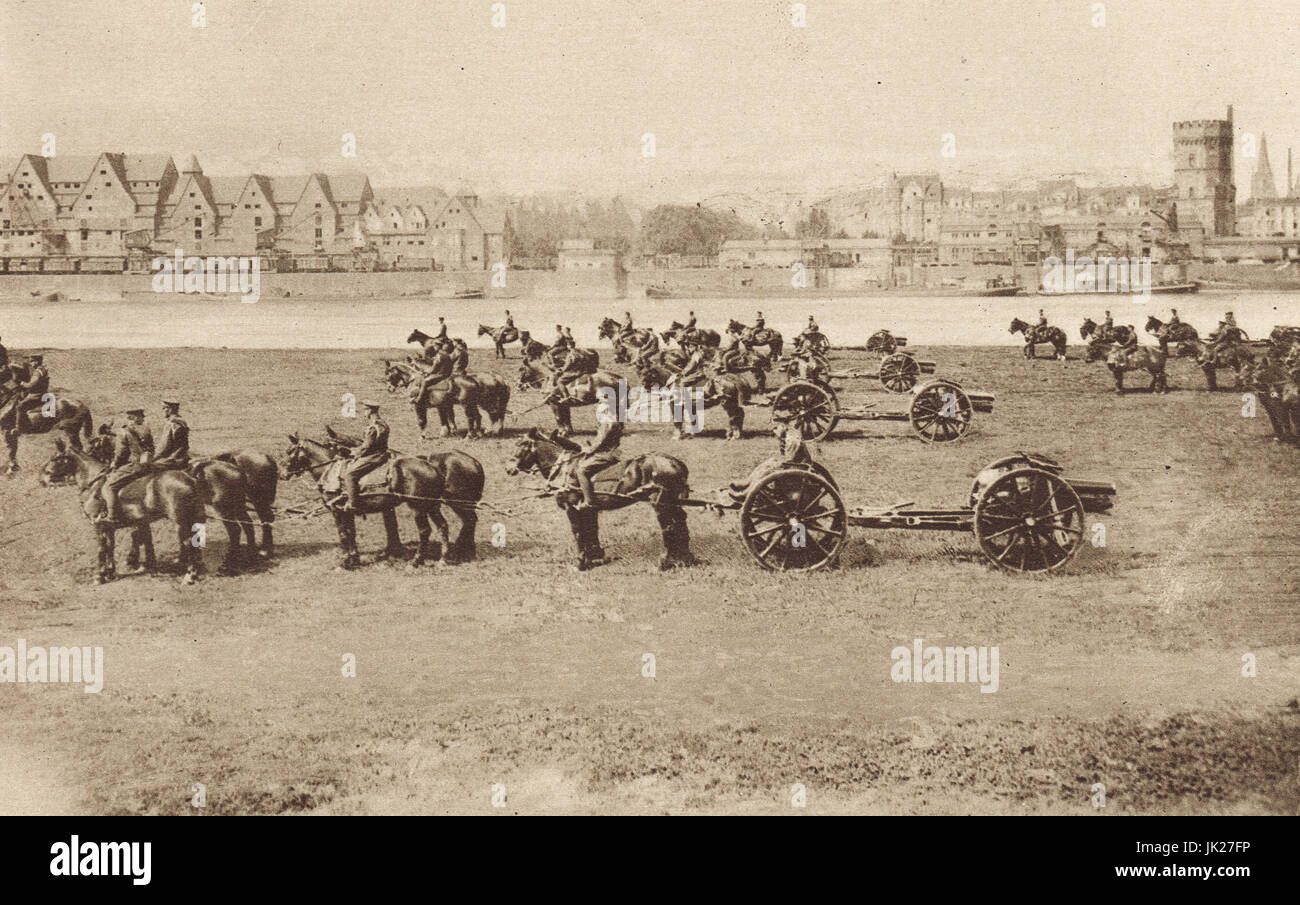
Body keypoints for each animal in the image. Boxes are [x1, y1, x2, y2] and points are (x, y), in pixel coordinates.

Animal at [38, 439, 209, 582]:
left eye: (54, 458)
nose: (41, 479)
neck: (94, 484)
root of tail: (189, 478)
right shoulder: (109, 527)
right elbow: (110, 547)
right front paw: (110, 572)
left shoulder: (98, 525)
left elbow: (101, 549)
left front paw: (100, 576)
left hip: (181, 521)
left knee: (188, 543)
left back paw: (190, 576)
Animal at [282, 434, 486, 569]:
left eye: (289, 451)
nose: (282, 473)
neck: (332, 470)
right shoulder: (347, 511)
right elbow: (351, 534)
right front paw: (354, 559)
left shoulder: (337, 511)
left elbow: (343, 535)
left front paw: (346, 561)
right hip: (433, 505)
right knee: (447, 526)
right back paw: (449, 556)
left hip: (425, 506)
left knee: (430, 530)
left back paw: (419, 560)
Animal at [501, 426, 696, 569]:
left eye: (521, 444)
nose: (508, 468)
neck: (565, 468)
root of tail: (675, 462)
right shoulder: (589, 509)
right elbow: (591, 530)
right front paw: (596, 557)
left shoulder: (571, 508)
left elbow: (578, 533)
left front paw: (580, 561)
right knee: (680, 522)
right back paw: (685, 558)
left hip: (660, 502)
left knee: (669, 526)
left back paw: (666, 561)